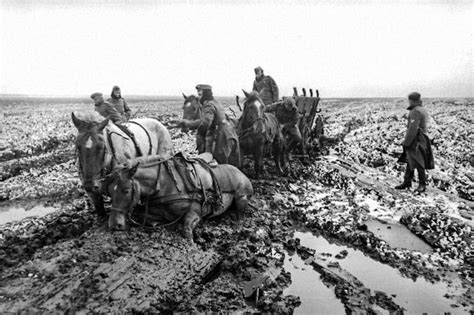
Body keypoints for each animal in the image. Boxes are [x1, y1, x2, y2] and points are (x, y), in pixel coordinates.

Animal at [103, 154, 252, 241]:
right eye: (109, 192)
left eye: (126, 190)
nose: (114, 225)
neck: (164, 184)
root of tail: (240, 171)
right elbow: (144, 216)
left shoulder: (195, 212)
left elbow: (186, 230)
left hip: (241, 197)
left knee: (240, 215)